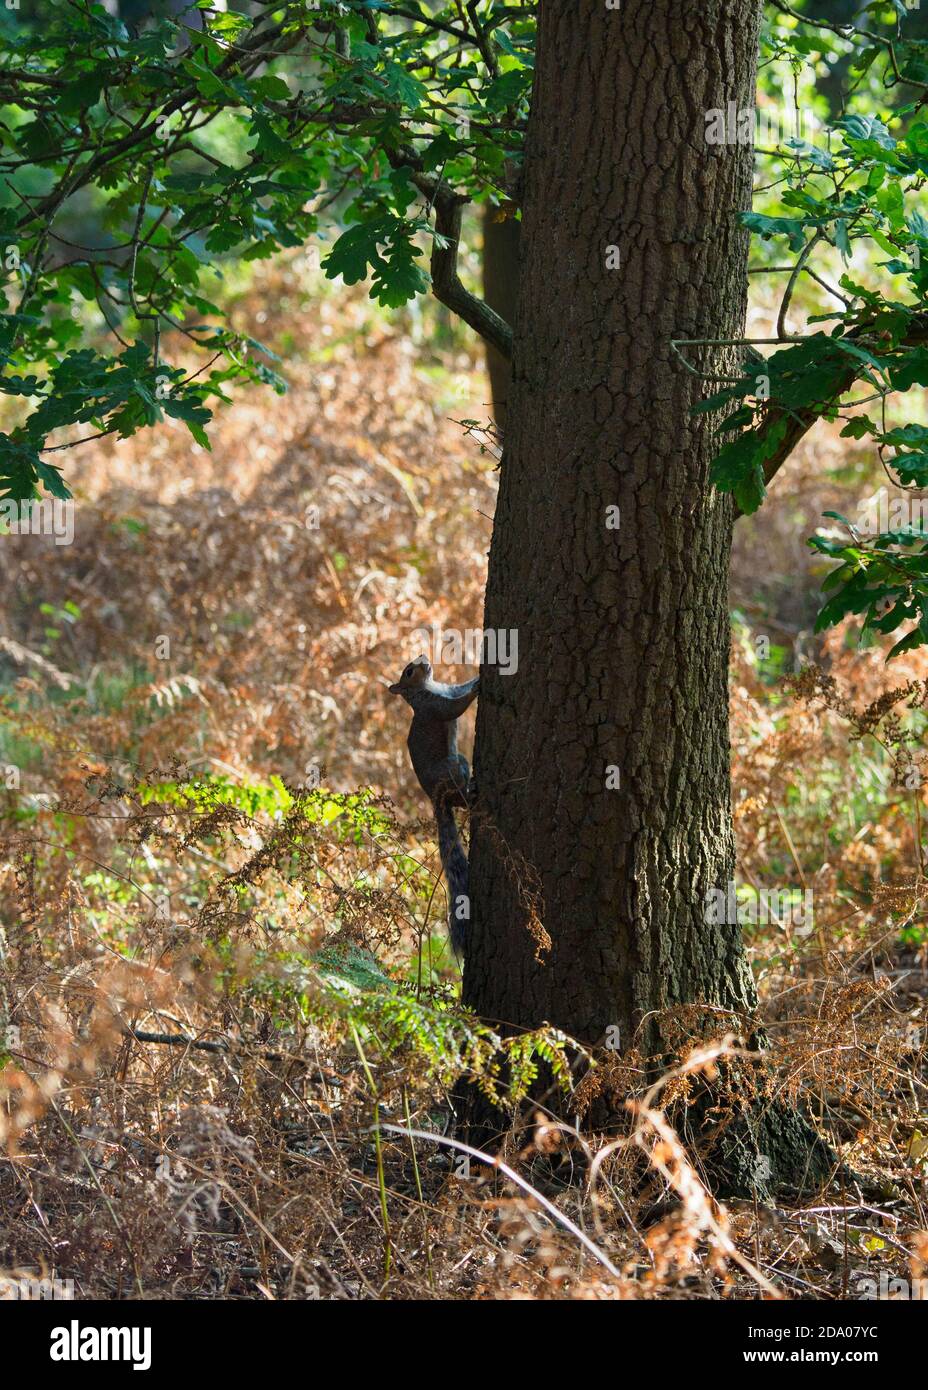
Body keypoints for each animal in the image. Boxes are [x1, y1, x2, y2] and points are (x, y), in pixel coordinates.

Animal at [388, 657, 479, 957]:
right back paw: (472, 794)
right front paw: (479, 689)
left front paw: (478, 675)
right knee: (460, 798)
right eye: (408, 671)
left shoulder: (448, 689)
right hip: (452, 767)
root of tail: (435, 799)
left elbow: (461, 688)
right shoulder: (434, 706)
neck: (429, 686)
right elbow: (455, 707)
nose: (423, 658)